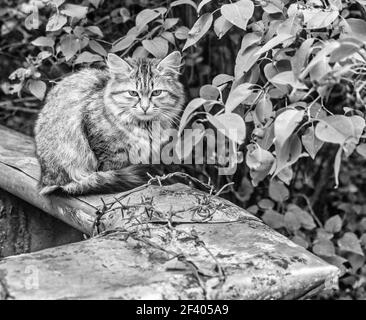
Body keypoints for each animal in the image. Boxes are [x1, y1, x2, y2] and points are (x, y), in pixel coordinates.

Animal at [34, 51, 186, 195]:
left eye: (156, 93)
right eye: (133, 93)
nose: (144, 107)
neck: (145, 125)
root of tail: (44, 179)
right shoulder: (109, 150)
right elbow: (111, 170)